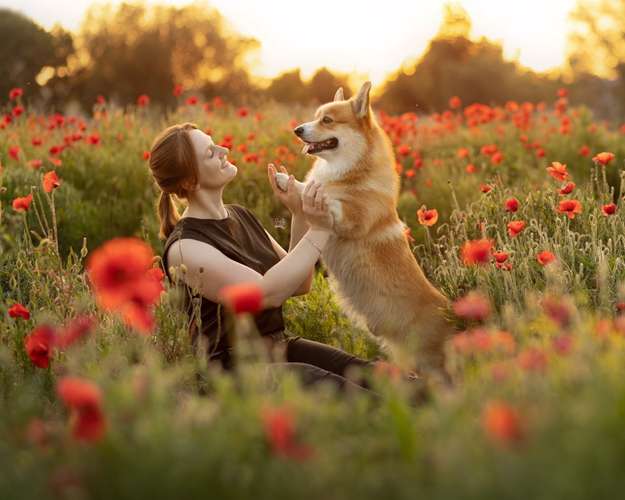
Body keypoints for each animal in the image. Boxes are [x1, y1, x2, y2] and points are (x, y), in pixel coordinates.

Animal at [276, 82, 454, 376]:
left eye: (327, 120)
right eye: (316, 116)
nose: (297, 130)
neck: (352, 174)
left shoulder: (351, 217)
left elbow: (325, 196)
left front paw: (290, 182)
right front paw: (288, 181)